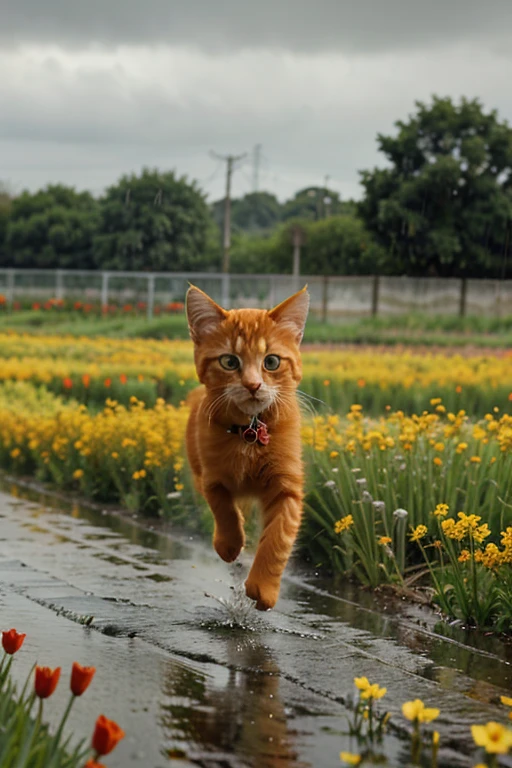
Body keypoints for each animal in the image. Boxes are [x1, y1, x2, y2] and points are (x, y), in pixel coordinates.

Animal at [186, 284, 310, 608]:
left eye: (271, 362)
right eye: (229, 361)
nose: (253, 385)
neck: (249, 434)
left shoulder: (288, 487)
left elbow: (278, 539)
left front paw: (263, 589)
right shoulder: (211, 477)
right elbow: (224, 509)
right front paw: (229, 545)